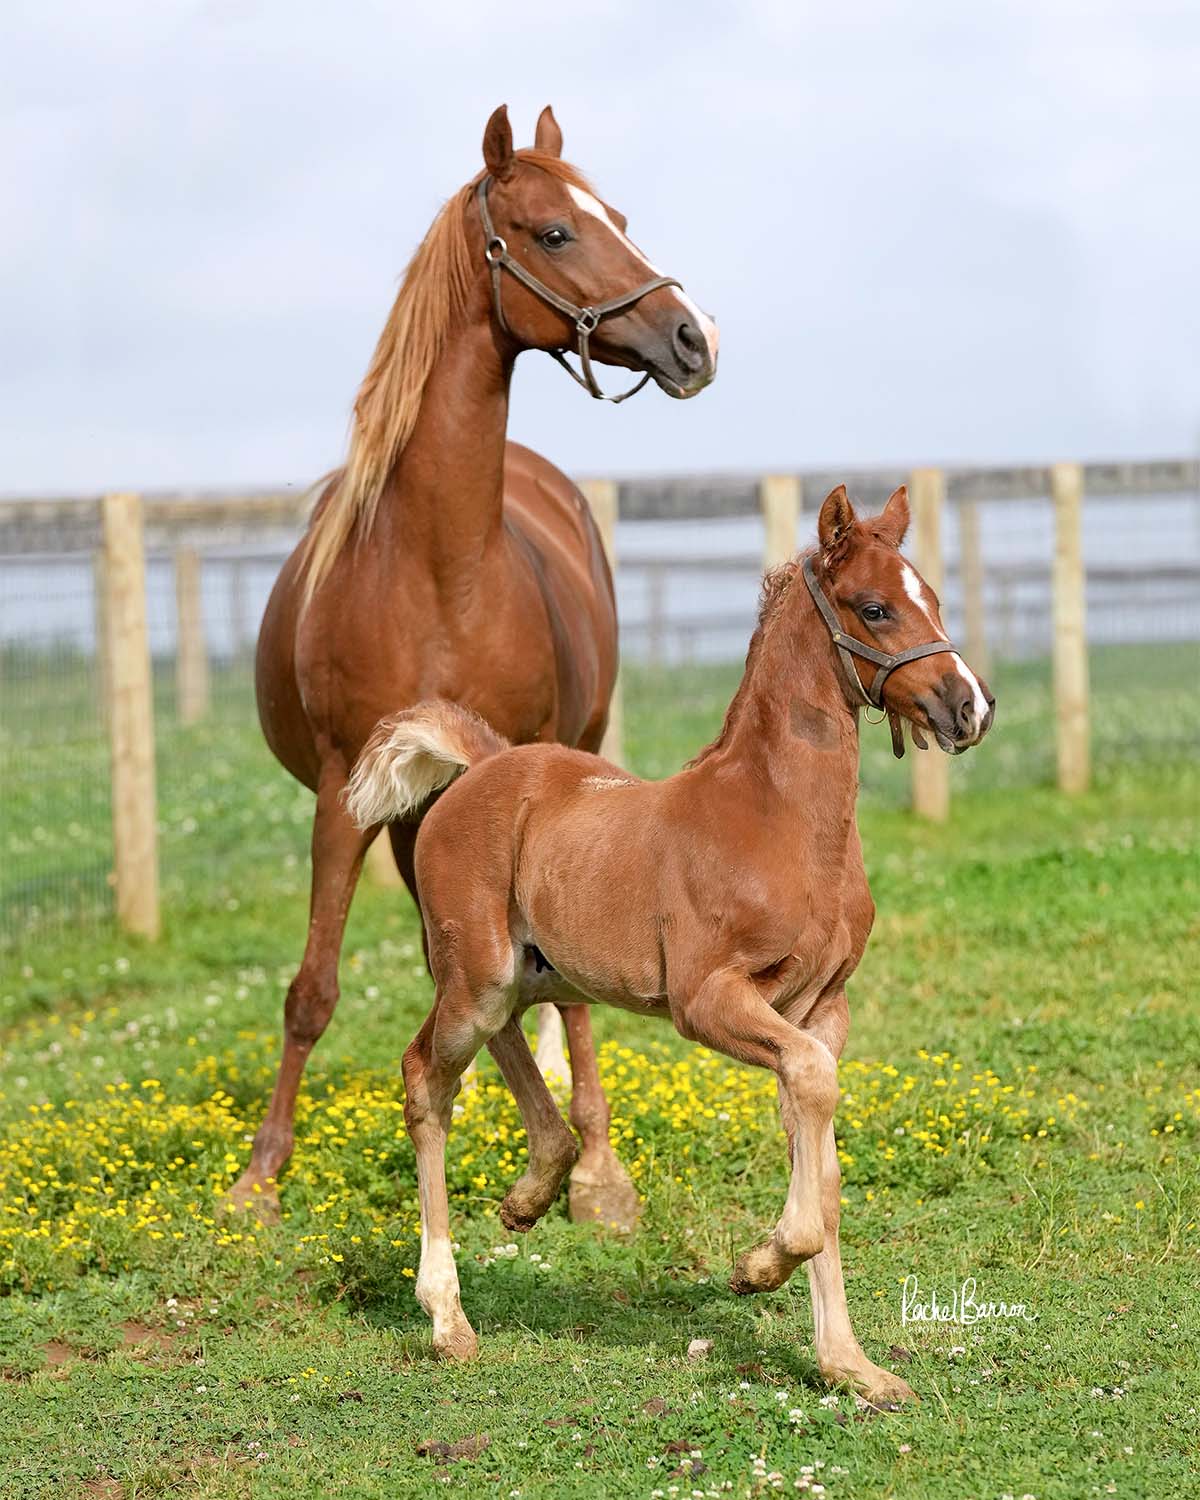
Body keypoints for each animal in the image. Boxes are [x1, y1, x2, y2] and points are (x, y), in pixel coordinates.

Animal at [345, 486, 996, 1398]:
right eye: (874, 607)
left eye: (932, 597)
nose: (969, 706)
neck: (782, 820)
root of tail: (484, 765)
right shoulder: (709, 999)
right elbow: (811, 1099)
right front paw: (758, 1267)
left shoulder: (819, 1011)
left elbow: (822, 1159)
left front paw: (852, 1367)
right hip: (476, 974)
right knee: (425, 1078)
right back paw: (448, 1316)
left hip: (530, 972)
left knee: (506, 1040)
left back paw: (534, 1189)